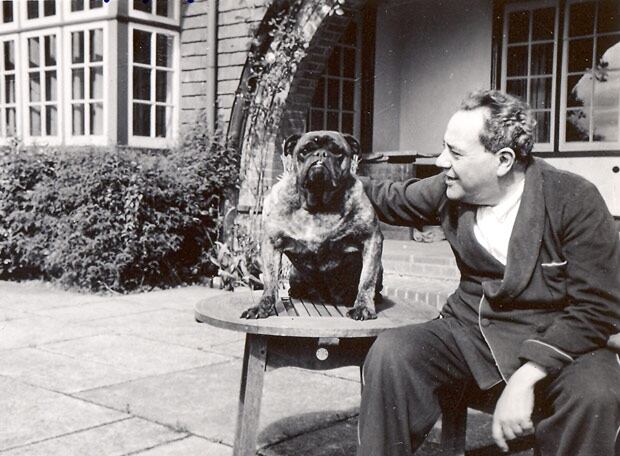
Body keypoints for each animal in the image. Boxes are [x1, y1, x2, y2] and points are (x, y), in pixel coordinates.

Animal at [241, 129, 382, 320]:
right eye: (305, 150)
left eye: (337, 151)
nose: (321, 154)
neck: (318, 203)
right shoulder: (272, 243)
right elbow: (270, 281)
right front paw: (262, 307)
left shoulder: (371, 239)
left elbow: (367, 280)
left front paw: (363, 307)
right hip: (294, 274)